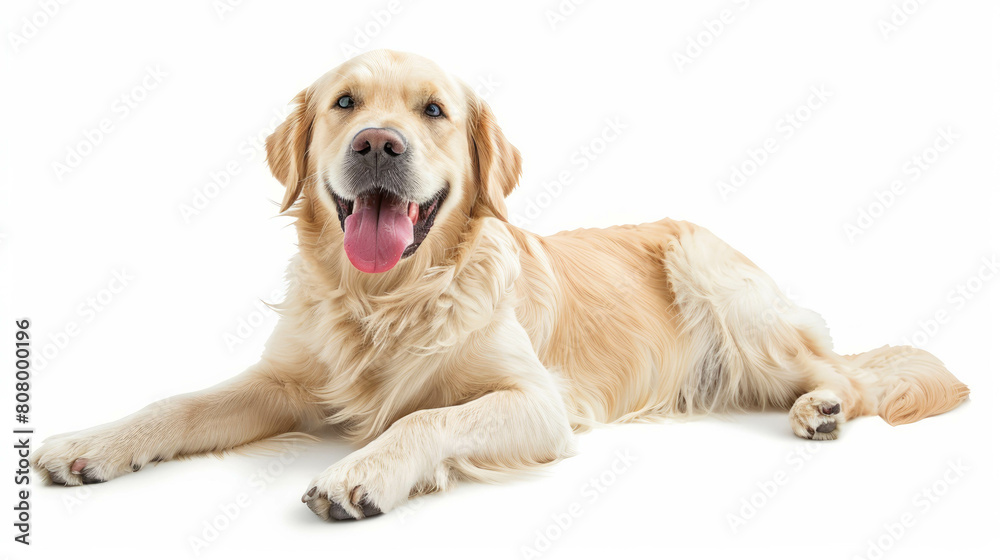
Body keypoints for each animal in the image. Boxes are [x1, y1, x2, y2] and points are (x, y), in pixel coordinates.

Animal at [31, 49, 968, 520]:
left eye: (433, 112)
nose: (378, 144)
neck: (388, 299)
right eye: (345, 103)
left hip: (716, 278)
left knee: (847, 375)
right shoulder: (284, 379)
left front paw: (359, 471)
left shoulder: (535, 400)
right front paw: (92, 442)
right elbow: (178, 405)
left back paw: (823, 408)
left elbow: (431, 416)